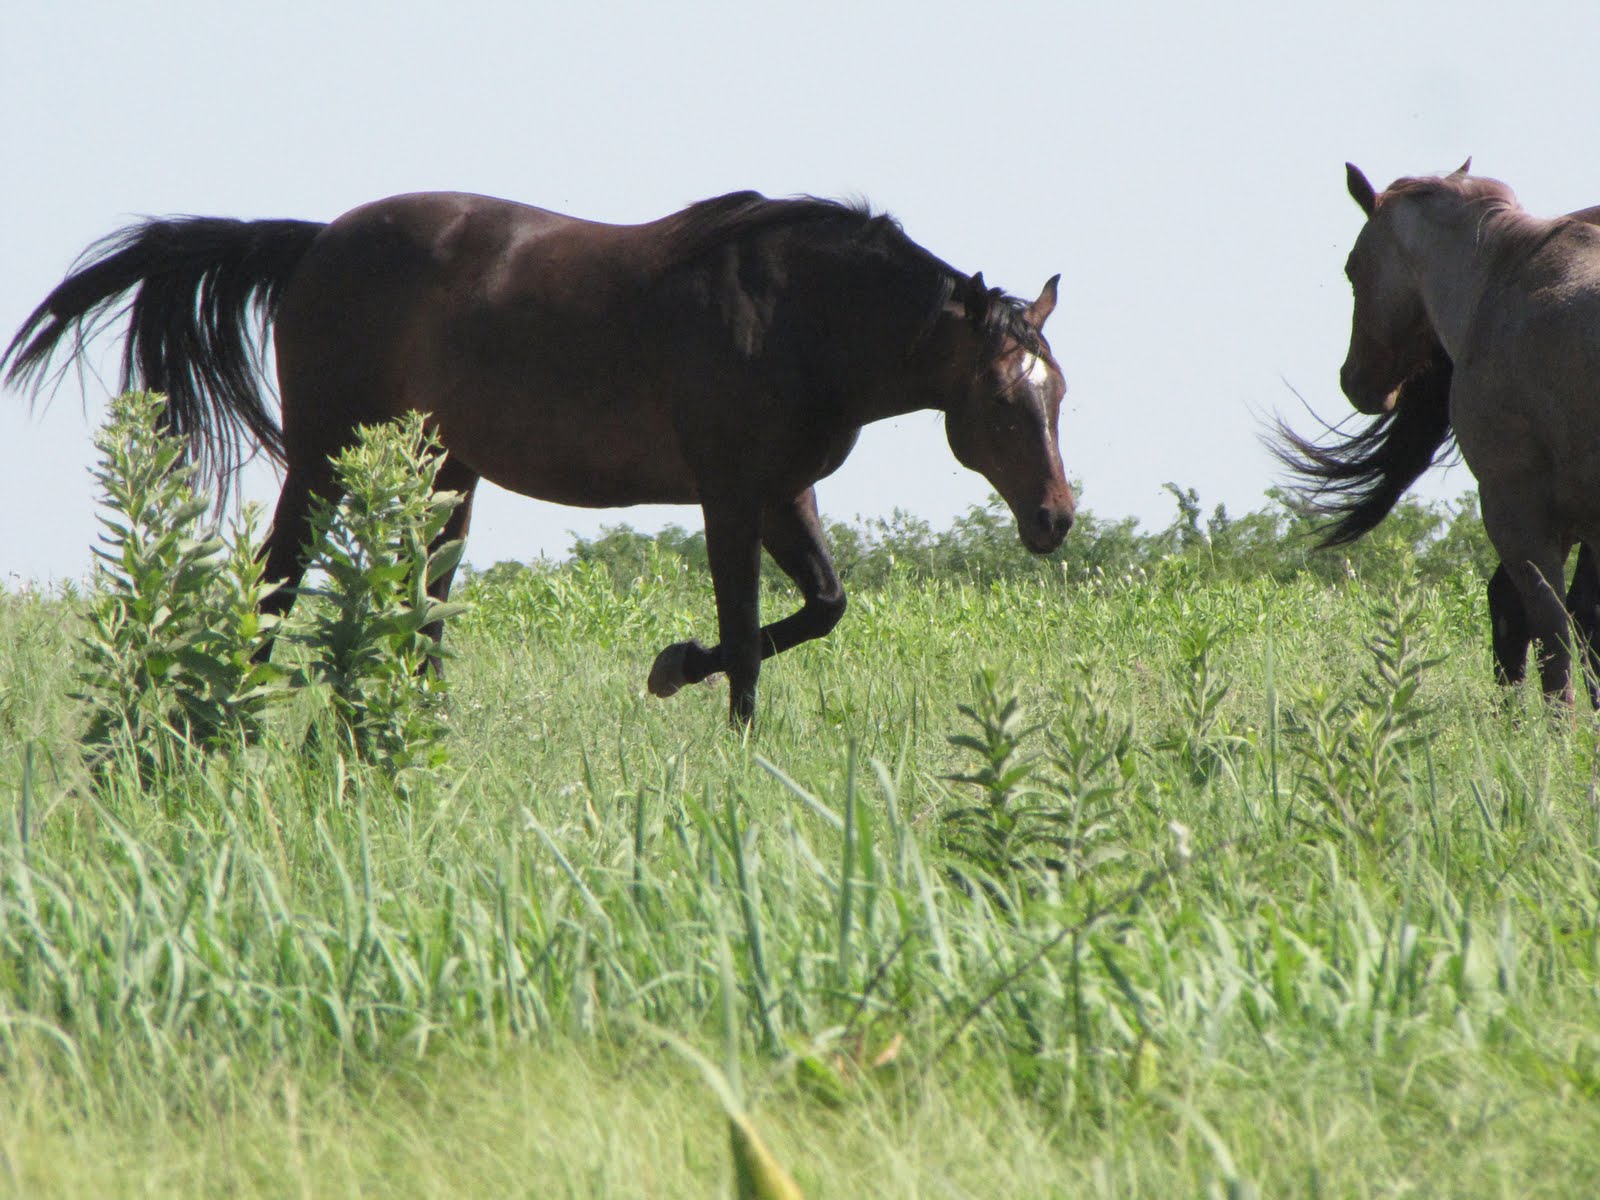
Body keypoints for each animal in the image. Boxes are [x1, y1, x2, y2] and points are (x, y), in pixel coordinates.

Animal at [3, 190, 1075, 724]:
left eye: (1056, 391)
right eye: (1000, 398)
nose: (1055, 518)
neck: (794, 314)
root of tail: (312, 246)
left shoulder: (784, 493)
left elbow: (821, 607)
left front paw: (672, 666)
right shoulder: (729, 495)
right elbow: (743, 635)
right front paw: (713, 715)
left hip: (443, 474)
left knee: (421, 608)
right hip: (324, 460)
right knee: (276, 582)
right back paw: (234, 717)